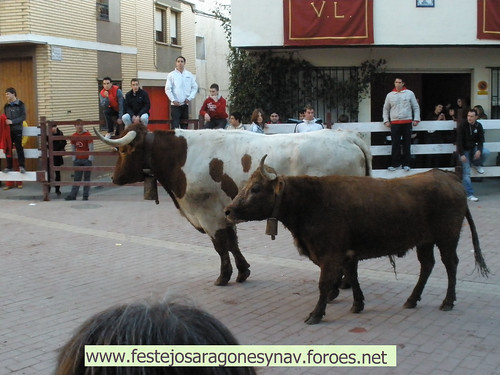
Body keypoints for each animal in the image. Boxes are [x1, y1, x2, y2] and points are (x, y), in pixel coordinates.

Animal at [96, 125, 372, 286]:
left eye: (124, 151)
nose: (114, 178)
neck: (182, 157)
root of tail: (347, 136)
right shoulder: (224, 212)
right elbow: (232, 243)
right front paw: (242, 271)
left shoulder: (208, 214)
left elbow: (221, 246)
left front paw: (224, 276)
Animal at [226, 157, 488, 324]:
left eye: (256, 188)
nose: (228, 210)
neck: (311, 201)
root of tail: (448, 176)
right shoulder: (346, 254)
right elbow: (352, 276)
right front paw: (357, 304)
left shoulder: (331, 255)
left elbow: (324, 284)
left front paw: (316, 314)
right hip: (425, 241)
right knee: (427, 266)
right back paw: (412, 299)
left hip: (447, 238)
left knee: (450, 265)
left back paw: (447, 301)